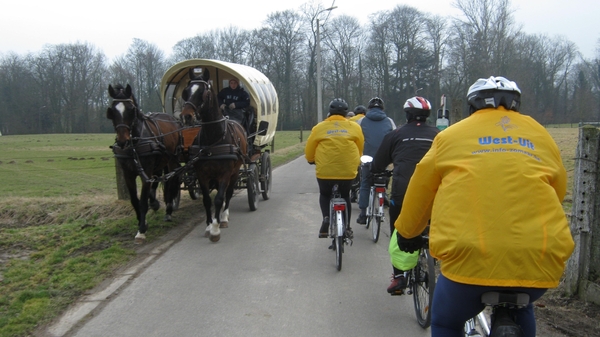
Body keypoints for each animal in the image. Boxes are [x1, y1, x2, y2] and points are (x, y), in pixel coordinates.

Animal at [108, 83, 182, 242]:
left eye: (131, 110)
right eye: (112, 111)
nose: (123, 141)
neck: (134, 144)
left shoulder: (146, 171)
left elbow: (142, 200)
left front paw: (141, 229)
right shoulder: (128, 174)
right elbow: (134, 200)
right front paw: (142, 221)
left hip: (172, 160)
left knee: (171, 181)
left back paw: (168, 210)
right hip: (160, 162)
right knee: (158, 180)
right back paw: (155, 203)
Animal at [182, 69, 250, 242]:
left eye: (204, 92)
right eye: (186, 92)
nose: (187, 116)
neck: (213, 138)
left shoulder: (225, 173)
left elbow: (219, 198)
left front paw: (215, 229)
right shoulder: (202, 174)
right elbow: (207, 200)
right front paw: (208, 225)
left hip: (235, 171)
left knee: (229, 193)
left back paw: (224, 218)